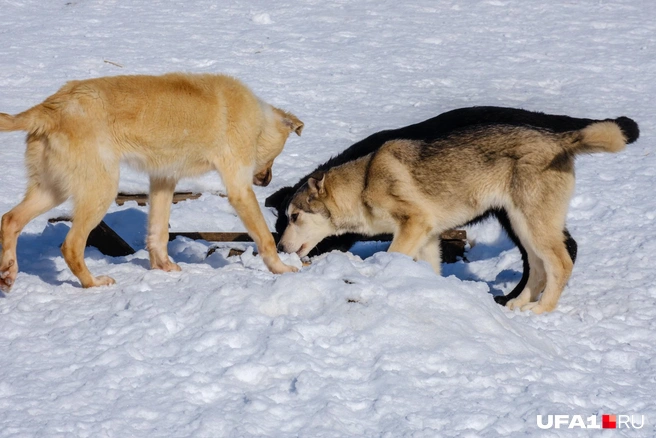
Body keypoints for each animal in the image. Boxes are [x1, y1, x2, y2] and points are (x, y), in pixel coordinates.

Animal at [0, 72, 302, 290]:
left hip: (53, 190)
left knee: (10, 220)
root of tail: (50, 106)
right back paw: (93, 283)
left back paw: (8, 273)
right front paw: (282, 269)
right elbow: (265, 238)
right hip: (101, 190)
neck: (258, 121)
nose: (267, 181)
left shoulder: (163, 181)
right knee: (71, 246)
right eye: (276, 155)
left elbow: (158, 233)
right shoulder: (239, 189)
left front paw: (163, 267)